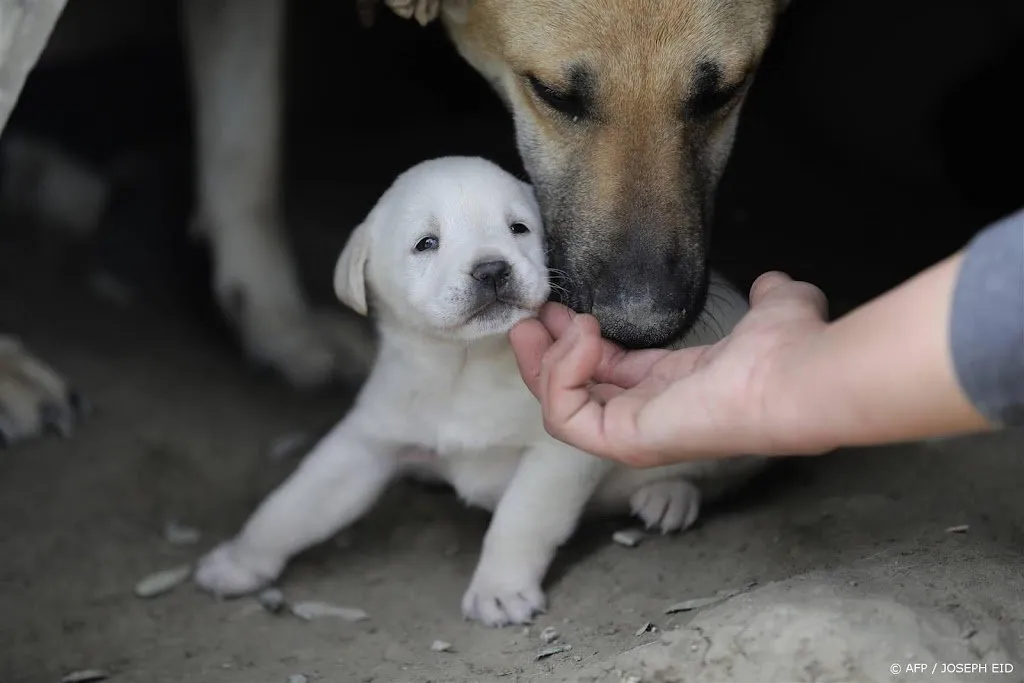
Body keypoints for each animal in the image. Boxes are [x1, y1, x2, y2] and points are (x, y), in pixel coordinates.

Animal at [193, 157, 770, 626]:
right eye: (426, 243)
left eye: (519, 228)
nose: (492, 268)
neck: (464, 368)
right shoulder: (367, 442)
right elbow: (295, 505)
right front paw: (239, 561)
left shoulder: (558, 454)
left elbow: (521, 520)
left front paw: (500, 590)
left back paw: (669, 495)